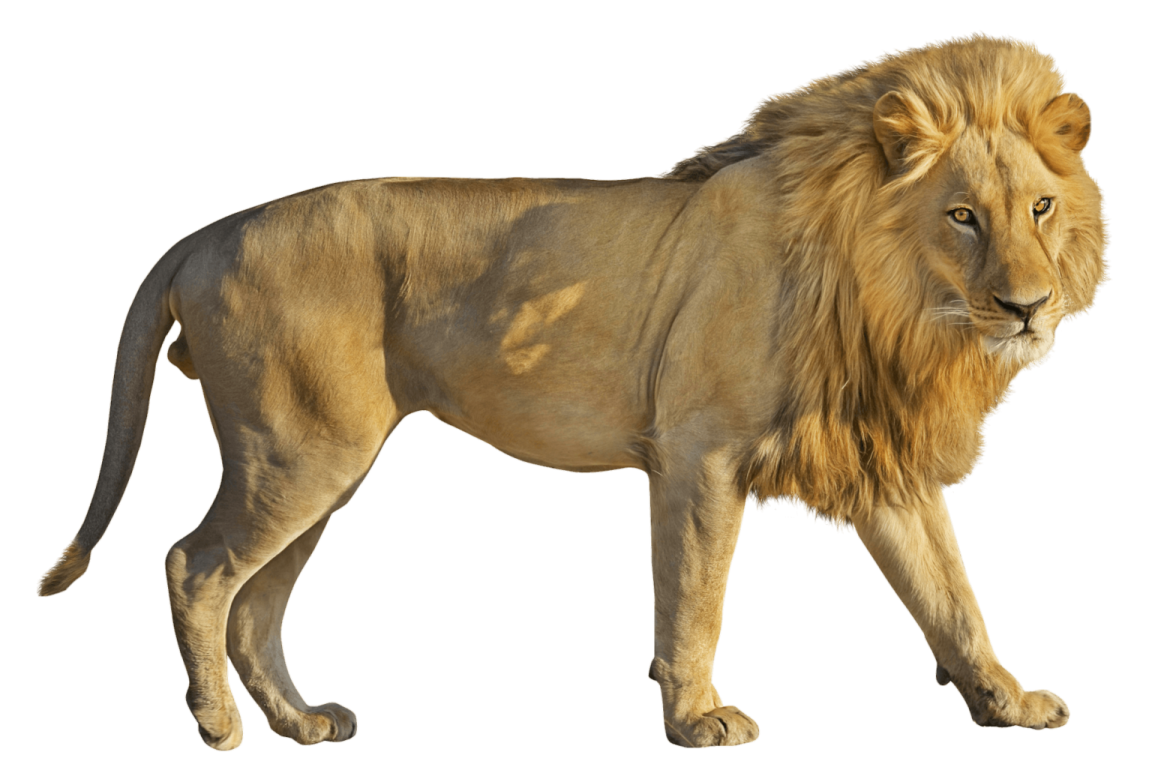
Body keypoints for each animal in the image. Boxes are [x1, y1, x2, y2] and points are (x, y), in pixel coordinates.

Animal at [36, 32, 1109, 750]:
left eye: (1040, 207)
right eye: (962, 216)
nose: (1026, 307)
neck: (894, 301)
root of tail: (206, 232)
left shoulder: (879, 457)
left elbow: (952, 595)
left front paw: (1008, 702)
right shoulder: (698, 450)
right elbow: (695, 595)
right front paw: (699, 717)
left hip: (320, 465)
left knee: (256, 601)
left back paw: (301, 724)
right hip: (299, 451)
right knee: (194, 566)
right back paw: (219, 727)